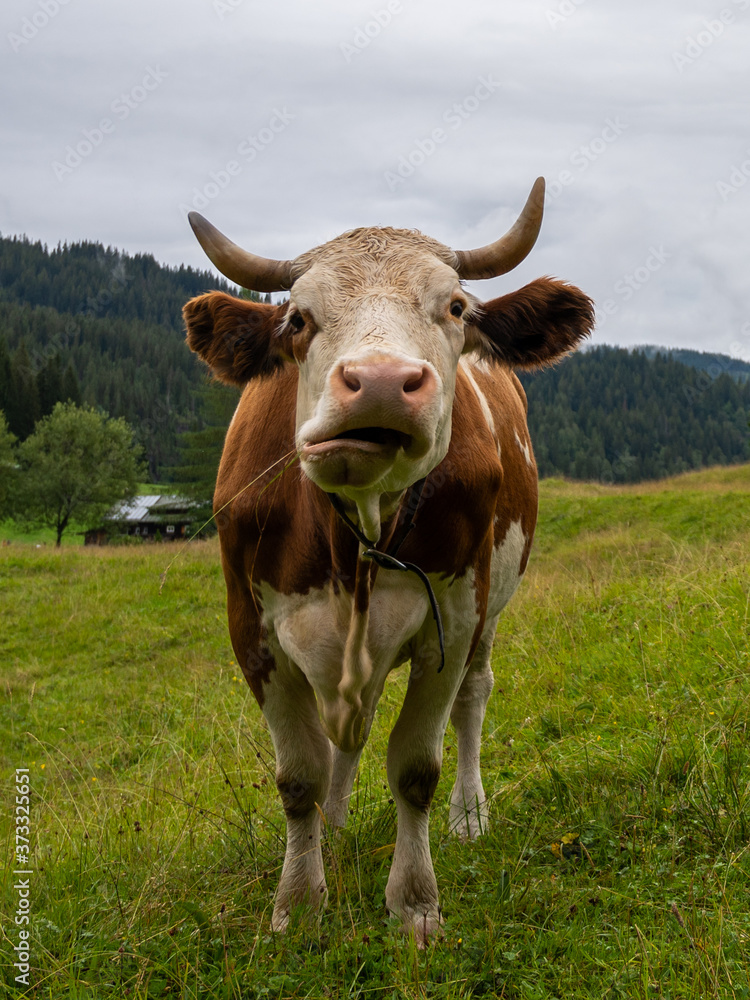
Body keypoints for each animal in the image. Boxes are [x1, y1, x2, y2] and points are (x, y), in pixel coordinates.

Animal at [182, 180, 592, 944]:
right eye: (297, 319)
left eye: (455, 307)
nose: (378, 383)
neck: (356, 529)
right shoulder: (250, 630)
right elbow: (301, 776)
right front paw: (298, 902)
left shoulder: (451, 621)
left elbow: (414, 767)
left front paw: (415, 903)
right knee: (347, 735)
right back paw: (338, 823)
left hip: (490, 612)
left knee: (473, 698)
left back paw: (469, 814)